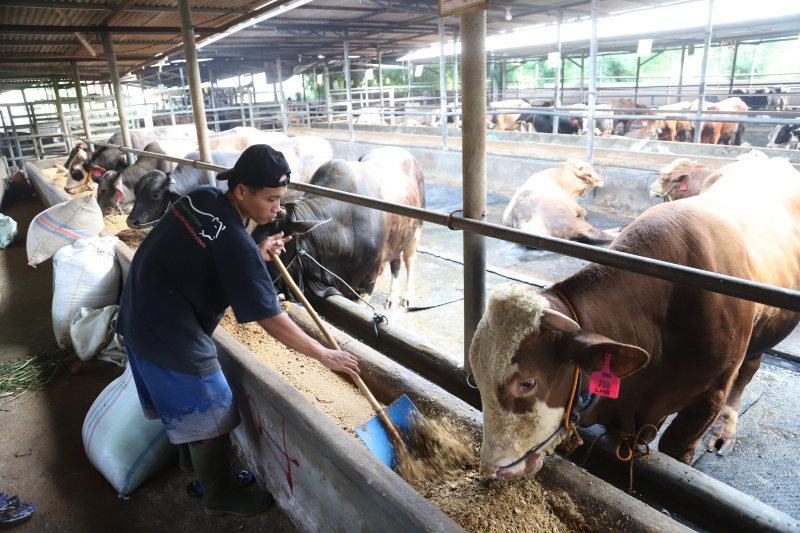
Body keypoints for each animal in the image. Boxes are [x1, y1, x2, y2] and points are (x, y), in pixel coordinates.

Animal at [468, 155, 800, 478]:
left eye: (527, 383)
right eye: (477, 377)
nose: (492, 467)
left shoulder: (707, 400)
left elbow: (677, 452)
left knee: (748, 370)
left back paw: (725, 428)